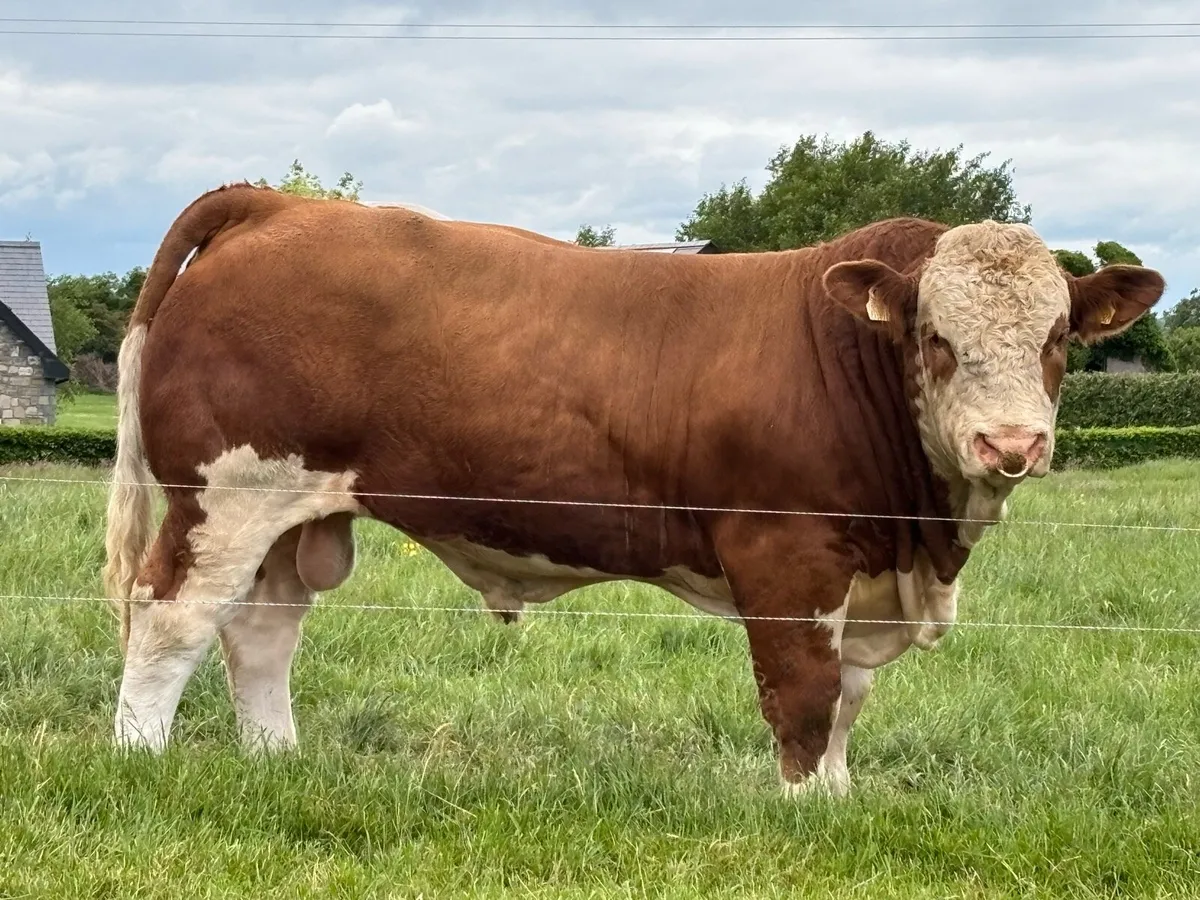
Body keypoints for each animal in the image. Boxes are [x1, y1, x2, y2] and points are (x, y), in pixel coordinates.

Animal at [102, 182, 1164, 796]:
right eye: (936, 339)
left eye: (1059, 338)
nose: (1011, 443)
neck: (917, 541)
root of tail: (277, 203)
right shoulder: (787, 554)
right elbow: (806, 694)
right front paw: (806, 815)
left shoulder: (859, 572)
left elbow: (848, 701)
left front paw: (840, 803)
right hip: (225, 492)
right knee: (172, 615)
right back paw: (138, 759)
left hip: (292, 509)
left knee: (261, 627)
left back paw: (276, 760)